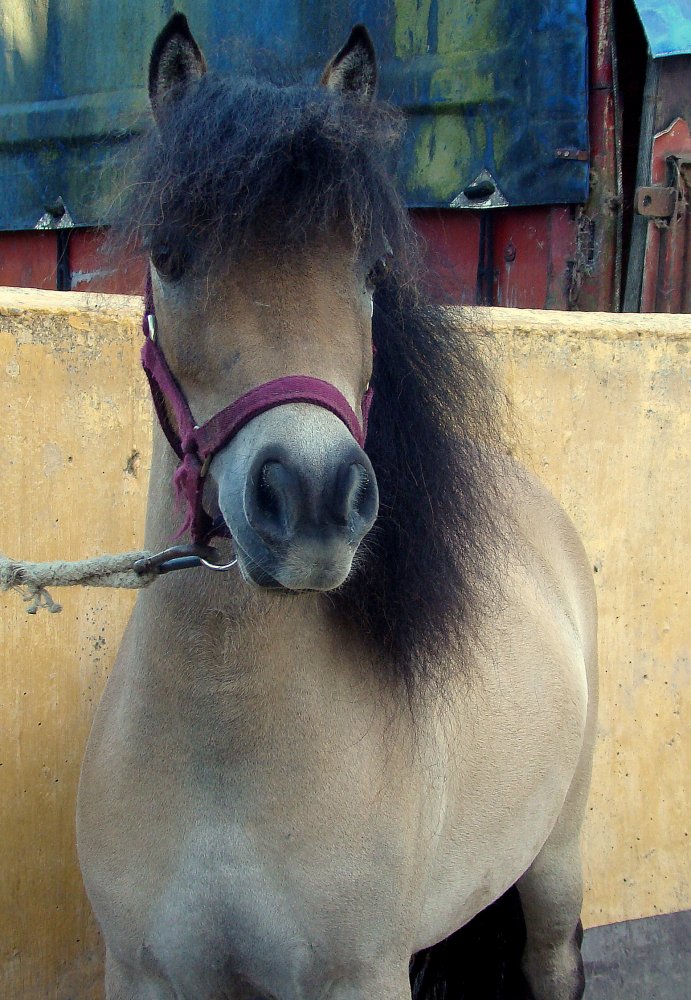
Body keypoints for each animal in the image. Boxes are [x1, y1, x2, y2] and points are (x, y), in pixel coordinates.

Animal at [77, 14, 598, 1000]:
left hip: (555, 867)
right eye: (168, 251)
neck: (223, 750)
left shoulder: (359, 975)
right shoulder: (144, 974)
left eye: (371, 265)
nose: (313, 496)